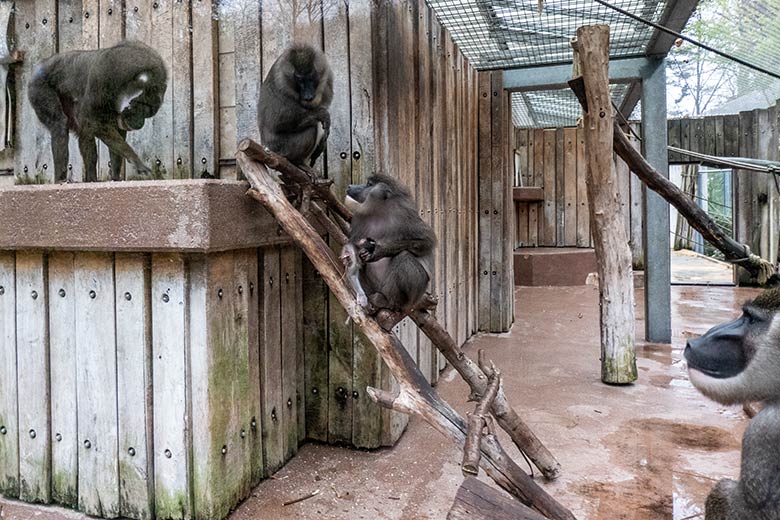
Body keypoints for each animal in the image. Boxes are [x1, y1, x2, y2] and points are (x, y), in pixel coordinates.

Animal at [29, 39, 168, 181]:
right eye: (141, 106)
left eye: (147, 112)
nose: (140, 122)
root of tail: (43, 63)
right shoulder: (102, 77)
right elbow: (91, 121)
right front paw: (136, 161)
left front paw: (116, 176)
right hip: (39, 88)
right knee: (60, 124)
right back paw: (62, 179)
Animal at [342, 175, 438, 330]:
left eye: (369, 184)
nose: (351, 186)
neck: (379, 210)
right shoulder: (359, 218)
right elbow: (354, 255)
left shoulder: (404, 214)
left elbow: (425, 241)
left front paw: (380, 250)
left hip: (410, 296)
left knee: (404, 257)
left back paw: (386, 301)